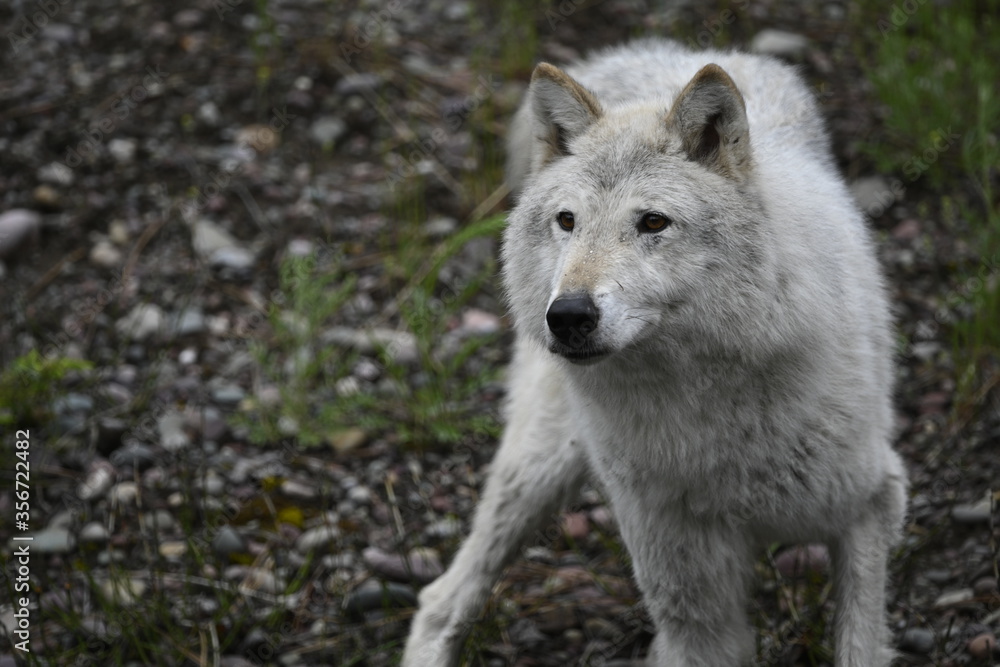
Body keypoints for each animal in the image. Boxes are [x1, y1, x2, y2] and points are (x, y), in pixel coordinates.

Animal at [402, 38, 908, 666]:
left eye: (652, 222)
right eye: (567, 221)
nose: (567, 316)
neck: (704, 415)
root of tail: (664, 51)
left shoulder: (871, 501)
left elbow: (860, 641)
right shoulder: (695, 612)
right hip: (540, 469)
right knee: (442, 598)